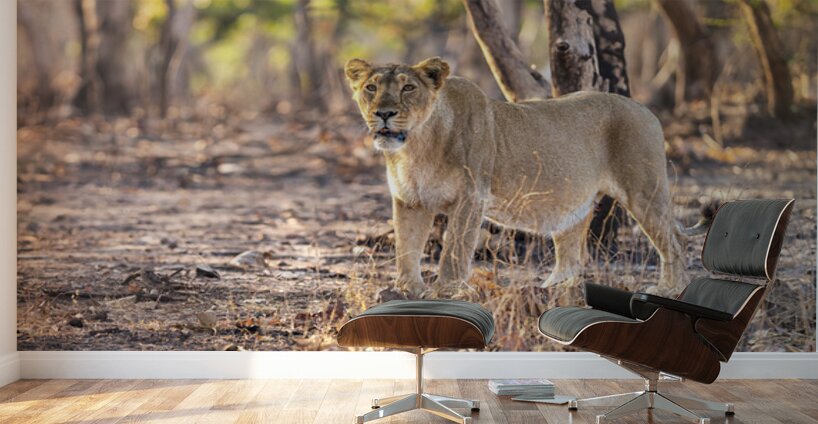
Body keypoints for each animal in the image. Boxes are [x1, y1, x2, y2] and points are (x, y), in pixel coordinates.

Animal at [345, 56, 691, 296]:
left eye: (408, 87)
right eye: (371, 88)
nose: (384, 113)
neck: (416, 148)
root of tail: (645, 110)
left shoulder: (471, 197)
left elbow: (454, 250)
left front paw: (447, 291)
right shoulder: (410, 201)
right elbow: (406, 247)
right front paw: (407, 290)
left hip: (644, 191)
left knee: (674, 241)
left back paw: (670, 289)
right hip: (574, 204)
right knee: (570, 255)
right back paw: (552, 289)